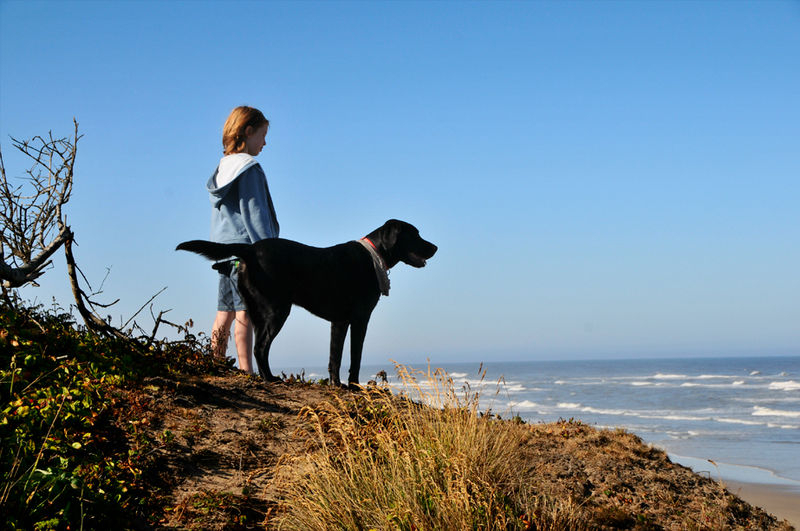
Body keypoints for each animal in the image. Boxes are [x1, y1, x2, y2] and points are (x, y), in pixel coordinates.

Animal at [177, 219, 438, 386]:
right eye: (415, 234)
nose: (435, 246)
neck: (374, 255)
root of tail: (250, 249)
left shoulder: (339, 322)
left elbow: (334, 358)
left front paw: (336, 385)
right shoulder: (359, 319)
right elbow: (354, 357)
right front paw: (353, 386)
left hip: (256, 312)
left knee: (257, 348)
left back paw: (264, 377)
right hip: (277, 310)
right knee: (260, 347)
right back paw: (271, 379)